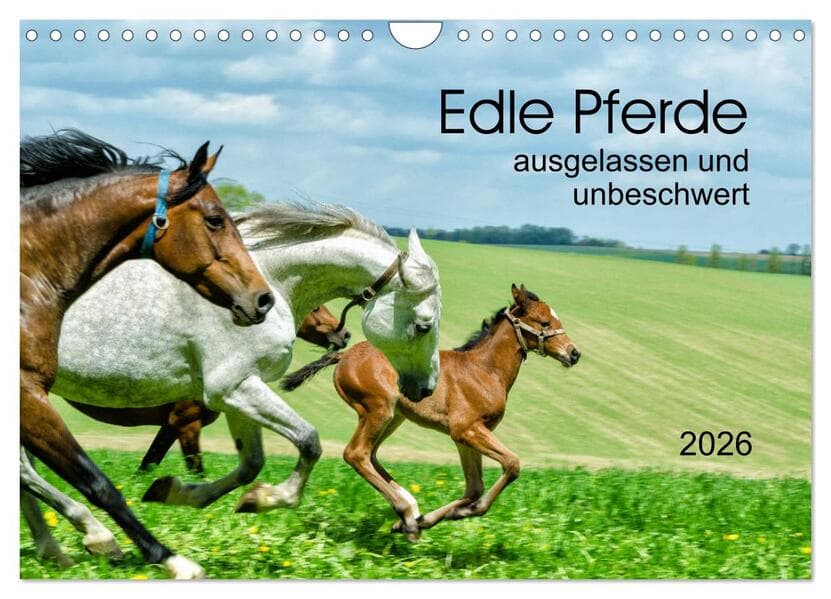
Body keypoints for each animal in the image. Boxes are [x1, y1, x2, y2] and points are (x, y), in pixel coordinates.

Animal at [65, 305, 350, 475]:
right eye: (316, 307)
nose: (345, 335)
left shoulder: (170, 428)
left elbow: (147, 465)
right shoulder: (185, 424)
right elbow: (196, 471)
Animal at [280, 284, 580, 541]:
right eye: (544, 323)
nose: (574, 353)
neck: (484, 369)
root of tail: (344, 355)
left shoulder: (464, 437)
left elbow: (474, 487)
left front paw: (432, 518)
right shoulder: (467, 429)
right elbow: (511, 464)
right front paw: (462, 512)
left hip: (394, 417)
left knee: (371, 454)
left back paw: (409, 515)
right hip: (378, 409)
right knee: (356, 453)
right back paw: (407, 515)